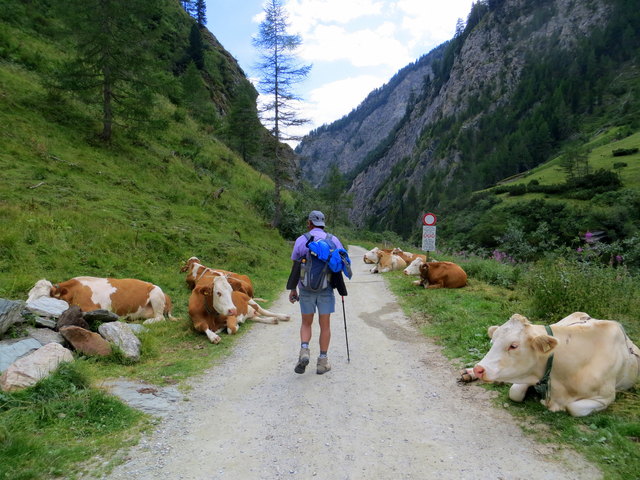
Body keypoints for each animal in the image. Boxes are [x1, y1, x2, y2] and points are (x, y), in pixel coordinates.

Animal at [460, 312, 640, 416]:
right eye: (493, 340)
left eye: (514, 345)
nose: (479, 369)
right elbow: (515, 392)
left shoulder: (606, 397)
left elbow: (574, 409)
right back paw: (468, 374)